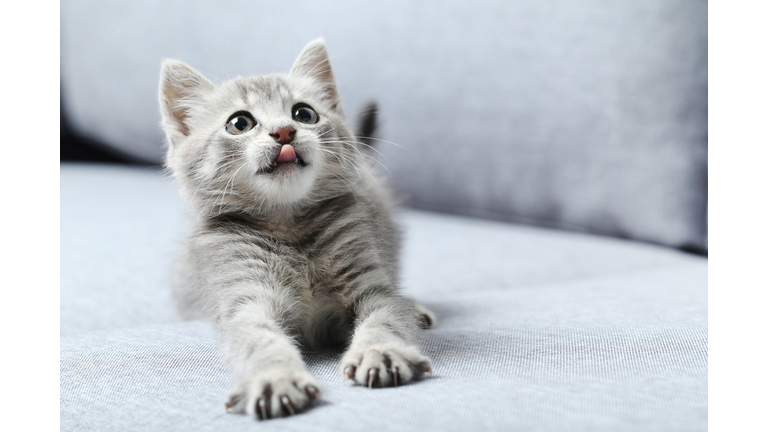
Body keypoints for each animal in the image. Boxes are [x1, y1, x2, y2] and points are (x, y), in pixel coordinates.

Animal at [158, 39, 432, 418]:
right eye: (239, 123)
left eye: (304, 114)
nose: (284, 131)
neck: (289, 227)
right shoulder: (246, 299)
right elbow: (259, 339)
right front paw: (275, 377)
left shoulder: (373, 286)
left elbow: (387, 317)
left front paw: (381, 351)